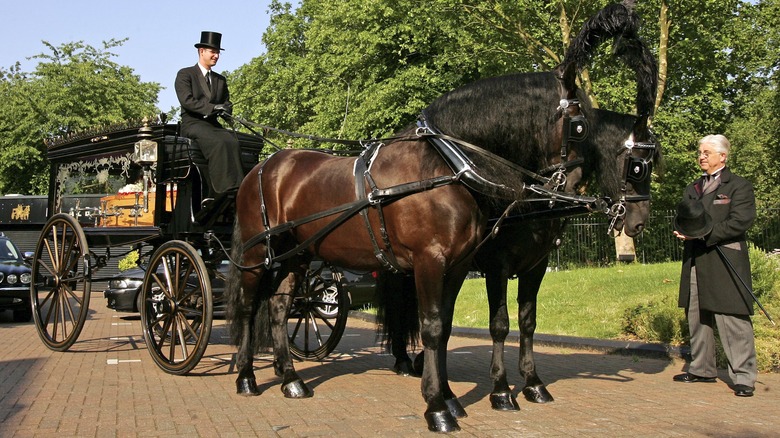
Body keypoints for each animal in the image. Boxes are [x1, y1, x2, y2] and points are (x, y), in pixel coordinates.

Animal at [225, 60, 592, 432]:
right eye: (579, 123)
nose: (575, 184)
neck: (444, 167)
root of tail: (263, 167)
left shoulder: (458, 266)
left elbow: (444, 328)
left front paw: (449, 397)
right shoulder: (431, 261)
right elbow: (431, 327)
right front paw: (437, 407)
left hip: (297, 256)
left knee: (279, 307)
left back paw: (290, 379)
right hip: (257, 255)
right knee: (246, 307)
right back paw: (246, 377)